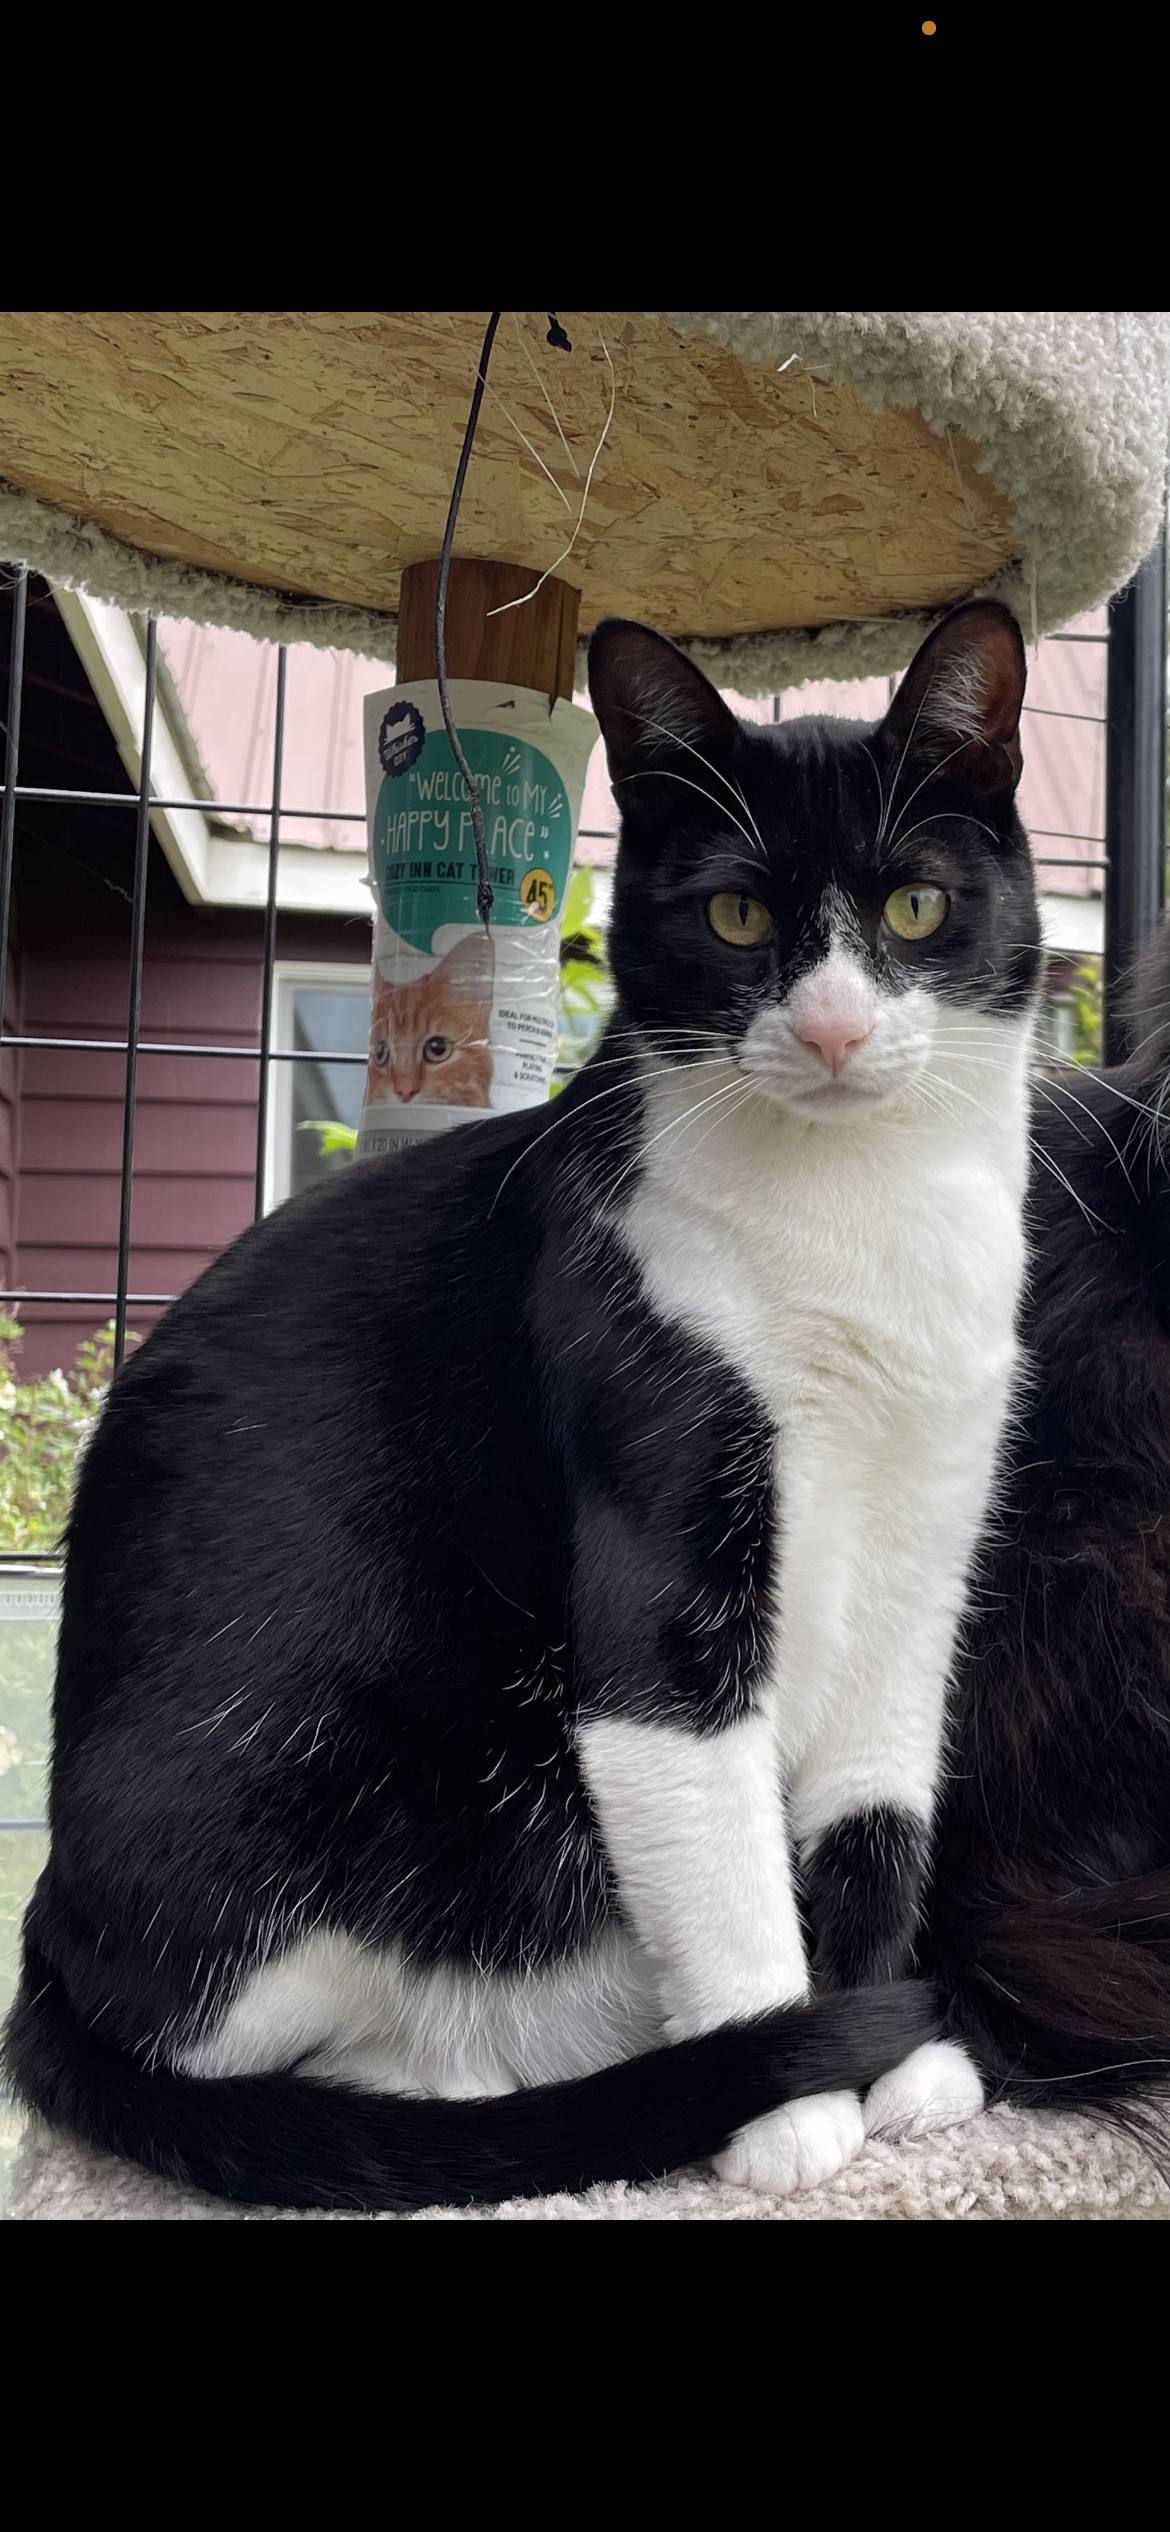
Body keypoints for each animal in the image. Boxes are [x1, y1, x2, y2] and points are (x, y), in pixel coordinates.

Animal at [4, 602, 1048, 2207]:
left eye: (919, 908)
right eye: (737, 919)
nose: (827, 1029)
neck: (861, 1223)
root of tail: (45, 1944)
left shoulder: (925, 1537)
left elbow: (876, 1811)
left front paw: (886, 2068)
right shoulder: (649, 1516)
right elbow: (719, 1842)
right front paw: (792, 2101)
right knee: (246, 2039)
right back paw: (488, 2090)